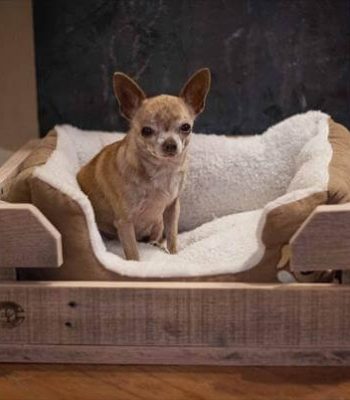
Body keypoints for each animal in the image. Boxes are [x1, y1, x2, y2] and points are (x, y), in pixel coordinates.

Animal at [78, 69, 211, 260]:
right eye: (146, 131)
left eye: (186, 127)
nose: (170, 144)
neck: (161, 170)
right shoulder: (124, 223)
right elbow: (133, 254)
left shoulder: (172, 209)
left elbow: (172, 236)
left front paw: (174, 254)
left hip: (158, 224)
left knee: (156, 236)